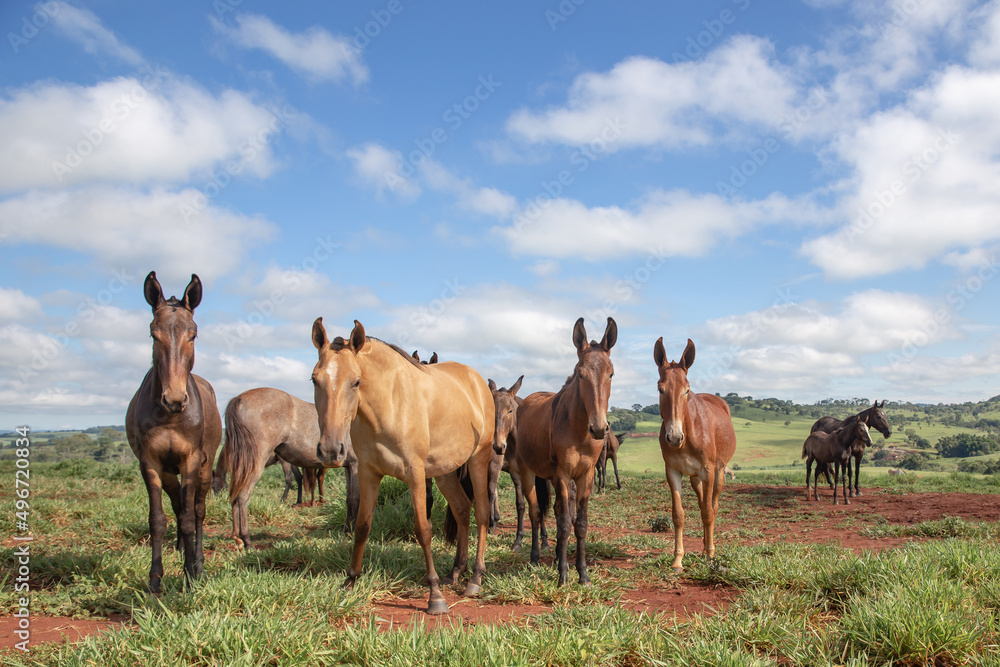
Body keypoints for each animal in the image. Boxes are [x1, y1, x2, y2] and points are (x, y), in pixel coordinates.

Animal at [125, 272, 222, 594]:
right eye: (153, 334)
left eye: (193, 334)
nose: (175, 399)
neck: (168, 417)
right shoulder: (151, 463)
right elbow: (158, 519)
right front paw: (155, 580)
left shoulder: (190, 460)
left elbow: (191, 517)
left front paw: (193, 574)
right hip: (169, 473)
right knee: (178, 505)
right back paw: (182, 551)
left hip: (204, 467)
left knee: (197, 509)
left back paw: (197, 561)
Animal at [214, 387, 359, 549]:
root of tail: (238, 399)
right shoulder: (356, 465)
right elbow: (355, 499)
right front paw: (352, 532)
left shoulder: (349, 466)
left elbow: (349, 498)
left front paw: (347, 529)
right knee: (243, 496)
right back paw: (246, 539)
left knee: (235, 495)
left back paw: (237, 538)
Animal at [311, 319, 495, 614]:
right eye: (315, 379)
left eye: (356, 381)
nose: (330, 450)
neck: (389, 406)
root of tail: (476, 380)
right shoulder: (368, 474)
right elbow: (362, 526)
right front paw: (350, 581)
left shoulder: (415, 475)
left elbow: (423, 530)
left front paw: (435, 596)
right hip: (444, 471)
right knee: (461, 509)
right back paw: (456, 571)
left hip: (479, 460)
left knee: (482, 514)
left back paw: (475, 579)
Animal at [514, 317, 617, 586]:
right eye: (580, 374)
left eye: (611, 373)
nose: (599, 428)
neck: (578, 429)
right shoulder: (562, 474)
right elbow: (562, 525)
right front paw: (562, 575)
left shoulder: (585, 475)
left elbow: (579, 524)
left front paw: (582, 574)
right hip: (528, 473)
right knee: (535, 512)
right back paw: (535, 556)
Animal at [654, 337, 737, 573]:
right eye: (660, 388)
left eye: (686, 390)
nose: (674, 437)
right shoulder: (673, 471)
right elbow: (678, 515)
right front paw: (677, 561)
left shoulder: (708, 471)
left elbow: (708, 512)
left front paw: (710, 557)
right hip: (694, 478)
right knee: (701, 504)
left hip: (718, 472)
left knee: (712, 507)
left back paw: (709, 549)